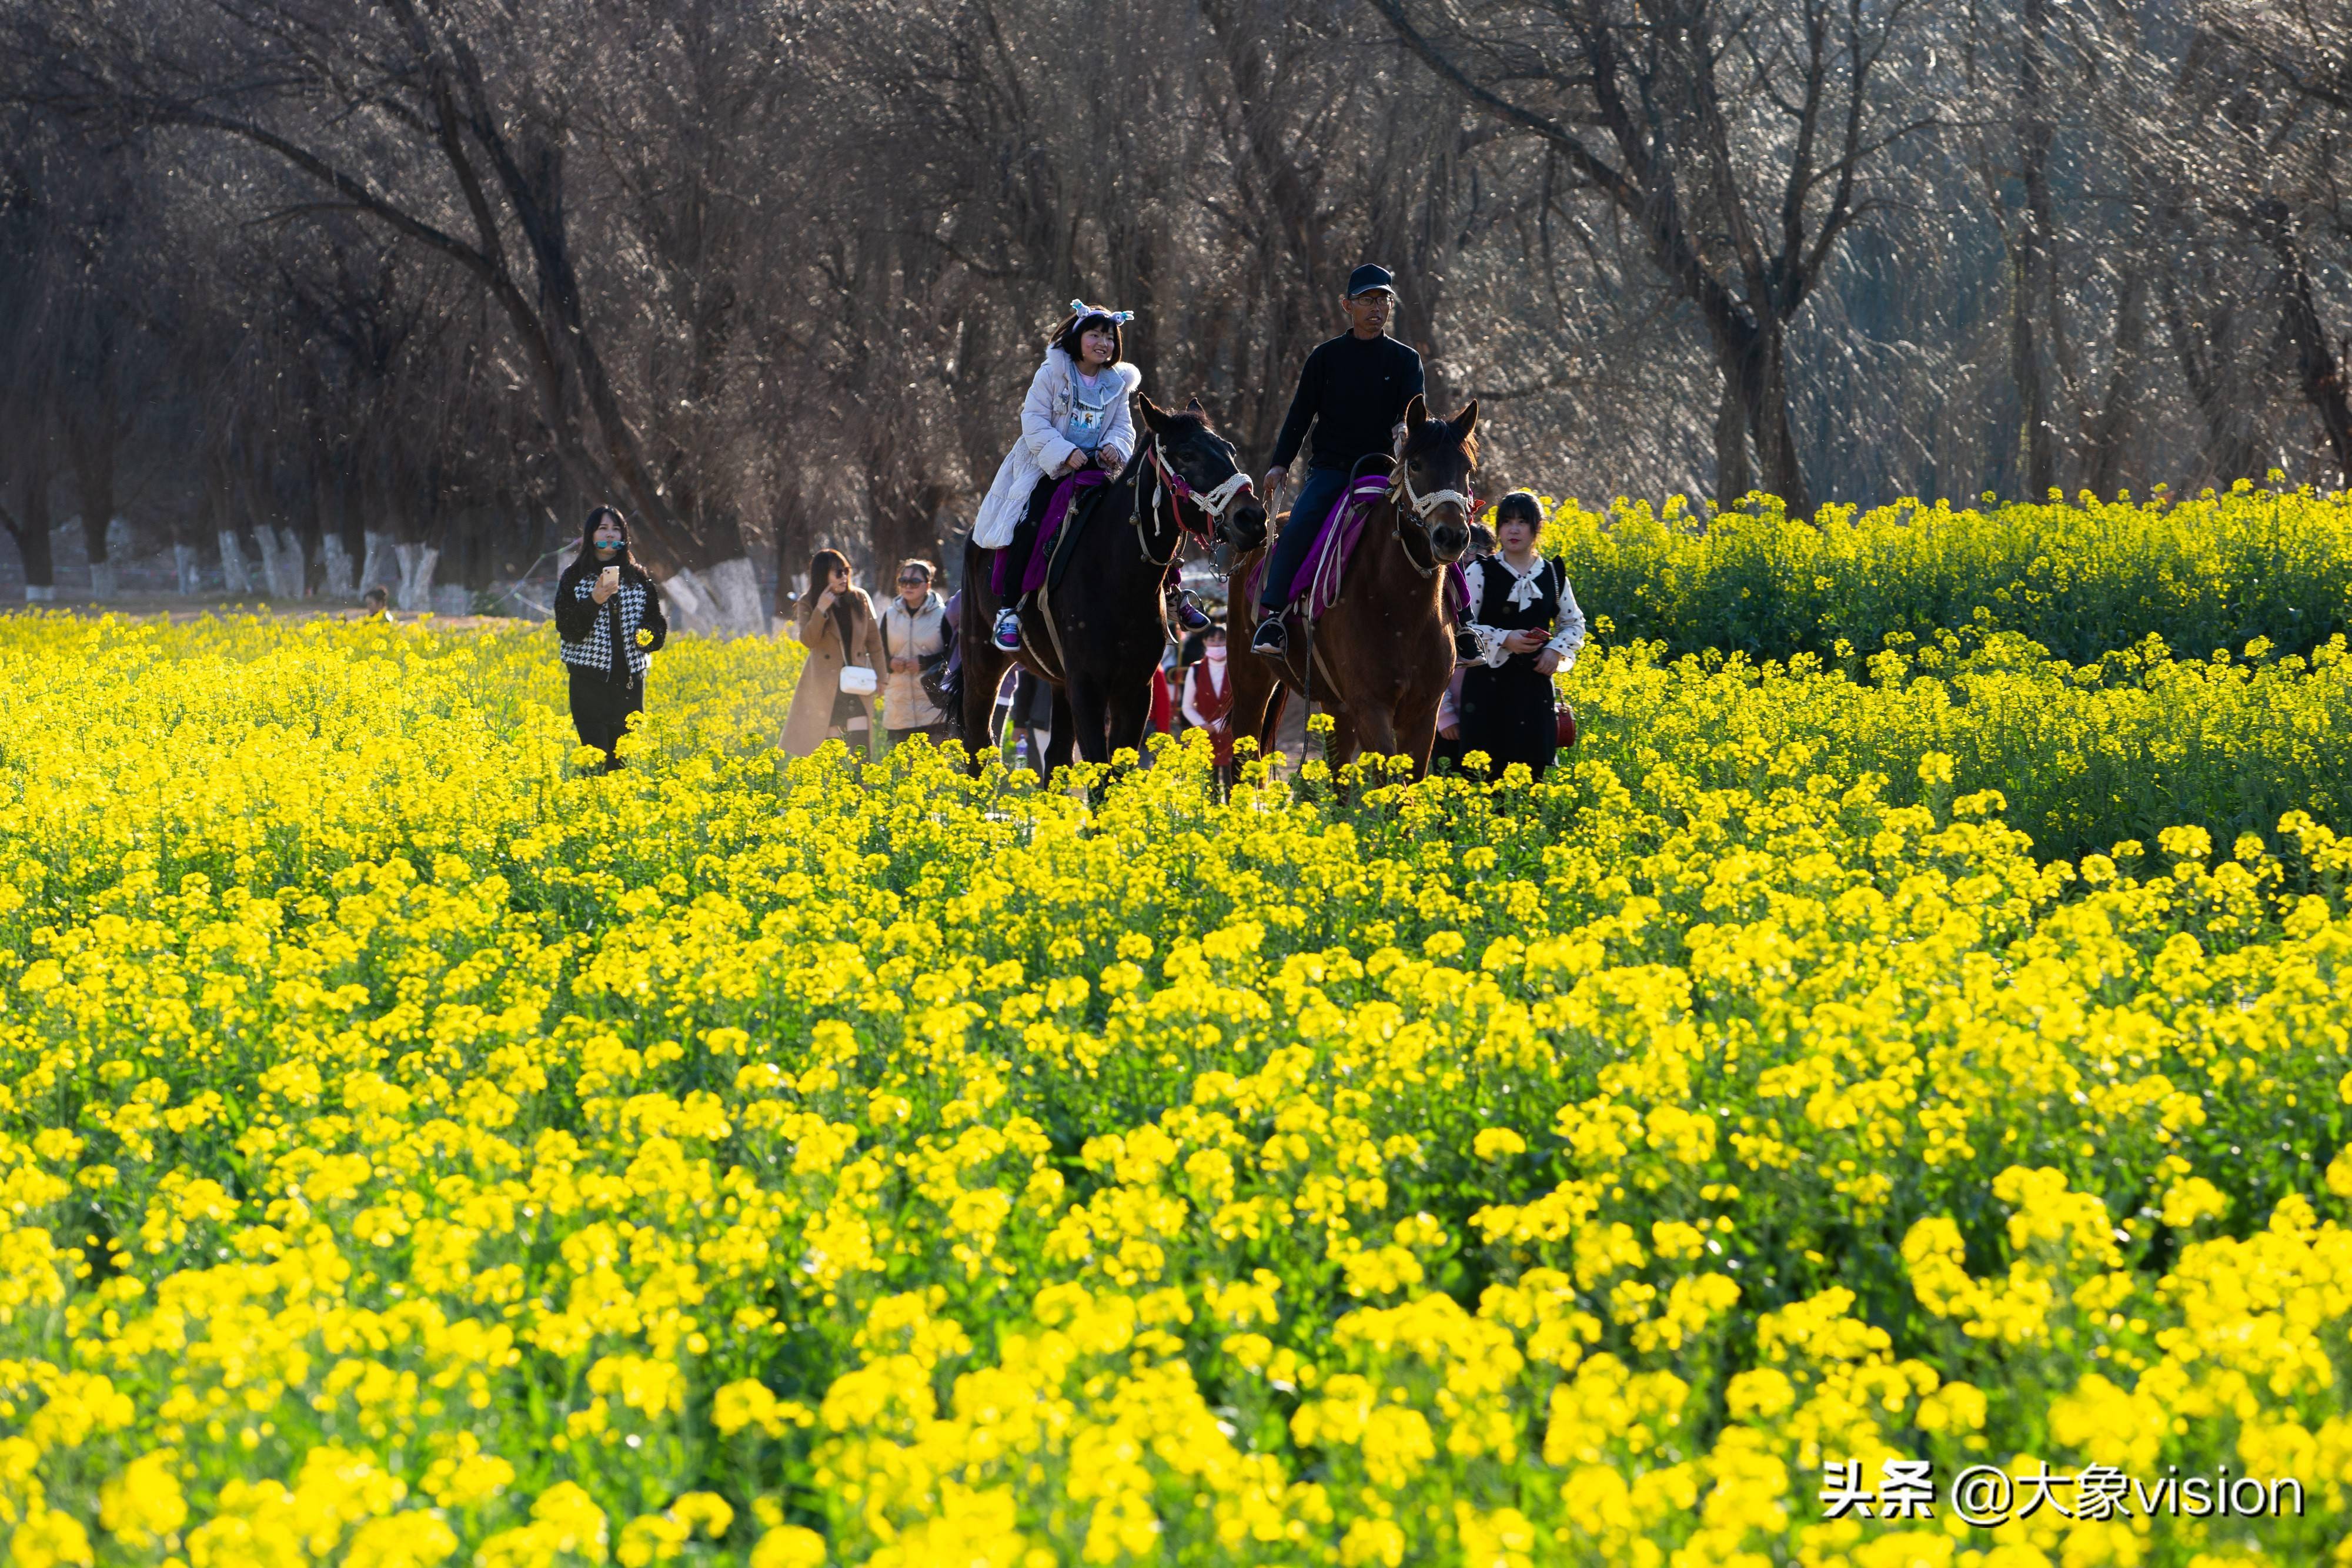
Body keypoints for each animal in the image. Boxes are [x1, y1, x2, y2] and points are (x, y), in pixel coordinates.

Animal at [1232, 394, 1468, 775]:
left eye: (1467, 469)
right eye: (1416, 465)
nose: (1452, 536)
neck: (1402, 608)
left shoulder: (1423, 714)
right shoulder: (1370, 708)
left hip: (1335, 708)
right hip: (1249, 681)